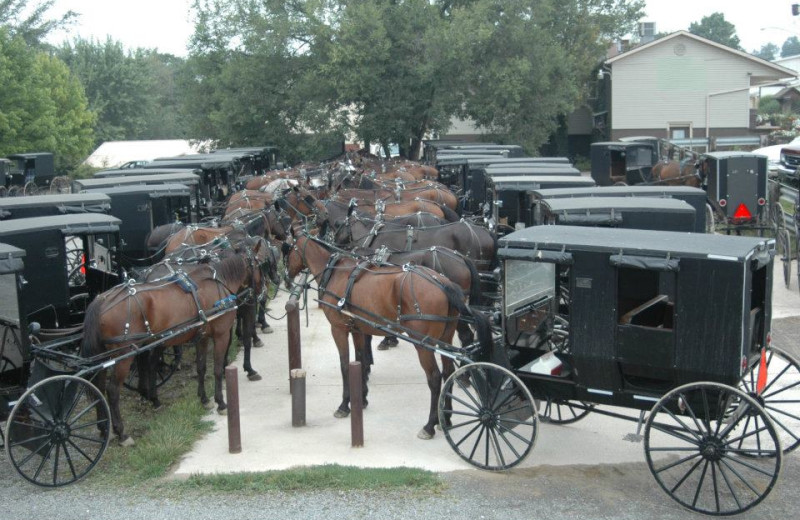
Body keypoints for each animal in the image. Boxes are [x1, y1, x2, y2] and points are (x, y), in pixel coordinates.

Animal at [81, 242, 270, 444]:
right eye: (259, 264)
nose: (262, 290)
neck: (219, 282)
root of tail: (101, 300)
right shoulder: (221, 334)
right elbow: (218, 369)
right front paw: (221, 402)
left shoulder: (202, 336)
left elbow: (201, 367)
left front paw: (204, 399)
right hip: (124, 356)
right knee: (112, 390)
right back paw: (122, 433)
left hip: (107, 355)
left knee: (100, 386)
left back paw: (104, 428)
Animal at [282, 234, 494, 436]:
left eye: (288, 250)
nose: (285, 277)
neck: (337, 272)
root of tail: (443, 282)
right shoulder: (357, 329)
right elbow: (359, 362)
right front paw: (361, 398)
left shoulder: (339, 329)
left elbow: (345, 365)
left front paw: (344, 405)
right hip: (444, 338)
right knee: (448, 371)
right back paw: (447, 418)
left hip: (422, 343)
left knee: (435, 378)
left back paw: (430, 425)